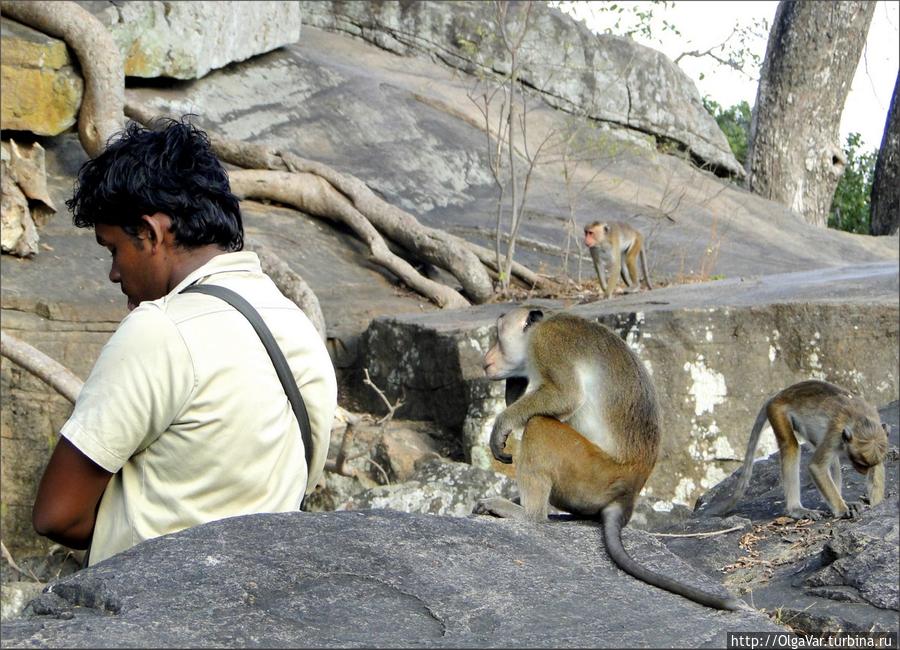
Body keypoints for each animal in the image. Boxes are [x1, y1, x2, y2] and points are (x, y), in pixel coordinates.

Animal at [478, 306, 744, 612]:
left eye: (498, 336)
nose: (485, 359)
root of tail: (628, 494)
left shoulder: (548, 342)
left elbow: (564, 396)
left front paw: (502, 423)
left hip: (592, 472)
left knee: (539, 424)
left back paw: (527, 515)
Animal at [708, 378, 888, 520]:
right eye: (861, 464)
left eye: (868, 465)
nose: (863, 471)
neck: (860, 420)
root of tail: (779, 395)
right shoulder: (836, 433)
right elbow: (816, 467)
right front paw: (842, 510)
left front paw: (873, 503)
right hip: (777, 411)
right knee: (791, 446)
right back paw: (796, 509)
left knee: (832, 460)